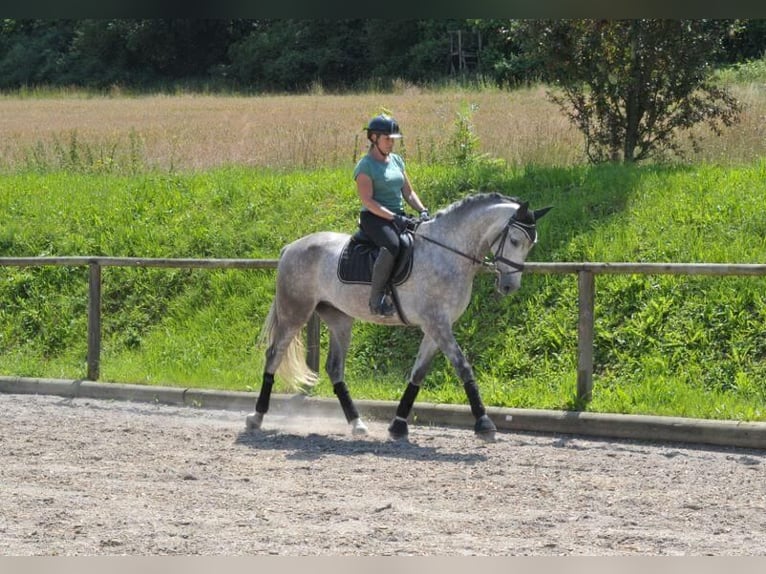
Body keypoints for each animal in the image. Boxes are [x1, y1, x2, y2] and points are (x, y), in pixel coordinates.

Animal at [246, 192, 552, 440]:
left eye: (531, 244)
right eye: (514, 240)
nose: (510, 287)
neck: (448, 252)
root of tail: (291, 247)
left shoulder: (436, 327)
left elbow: (418, 372)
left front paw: (398, 425)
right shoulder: (438, 324)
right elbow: (463, 367)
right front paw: (484, 423)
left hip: (340, 319)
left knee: (334, 367)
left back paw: (357, 423)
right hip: (295, 312)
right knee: (273, 355)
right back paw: (257, 417)